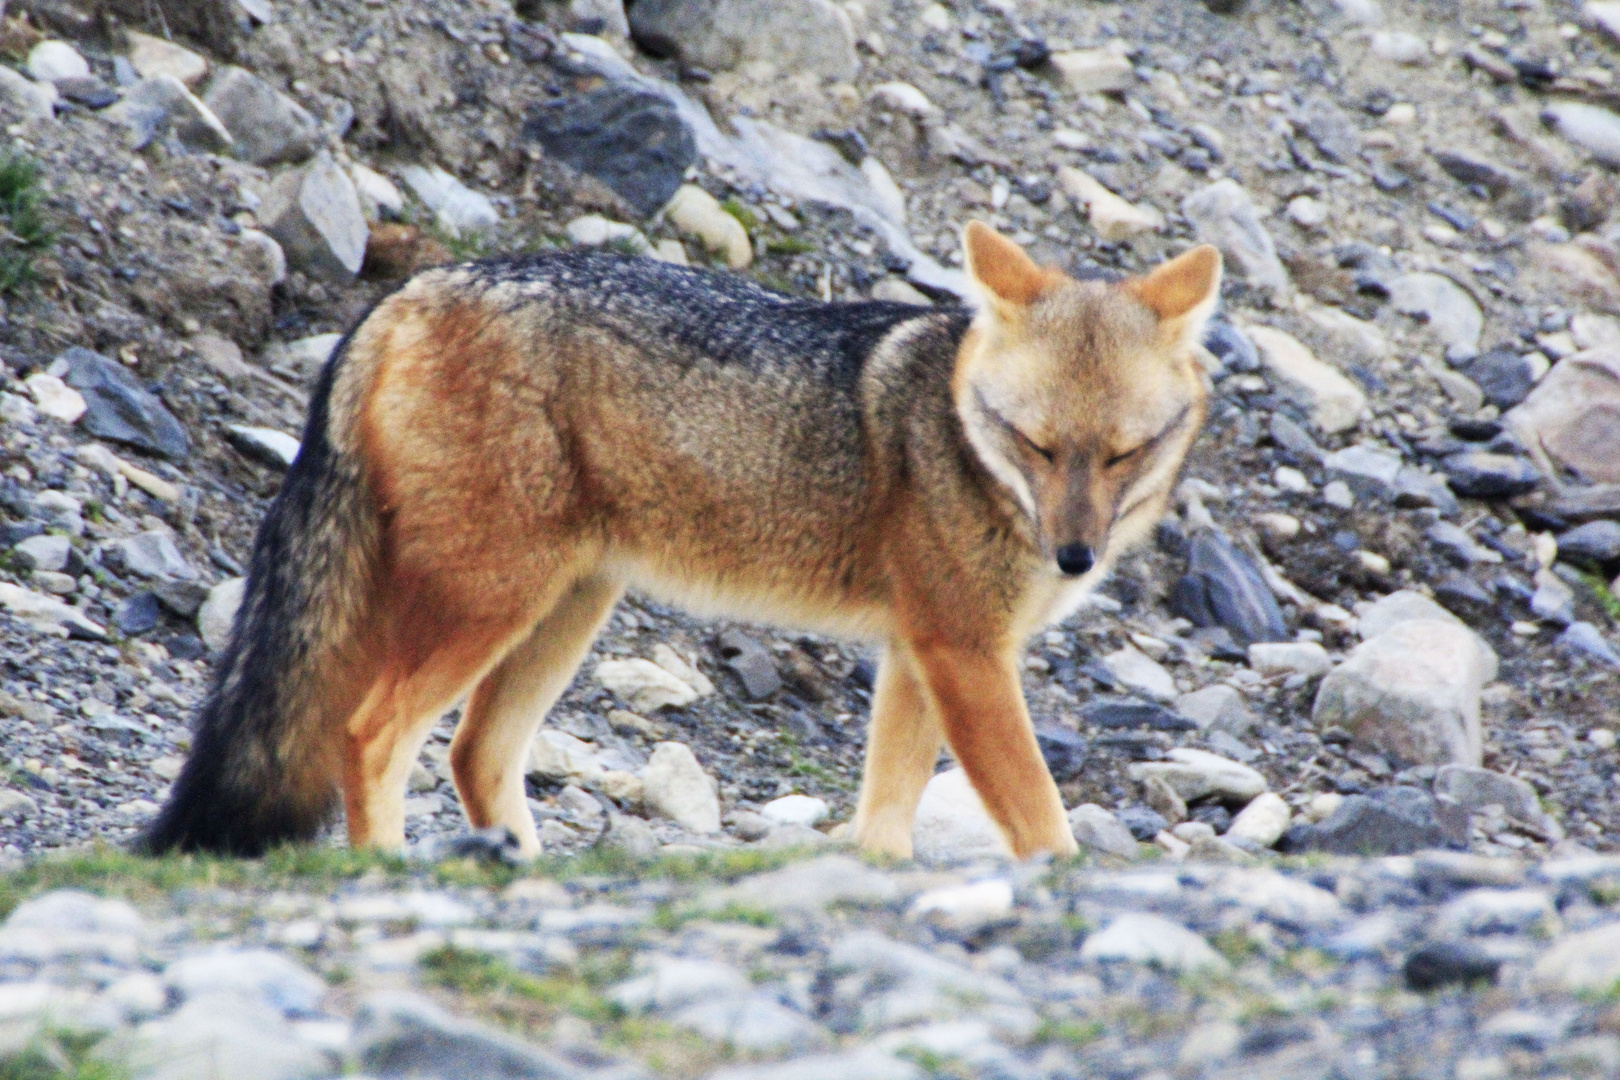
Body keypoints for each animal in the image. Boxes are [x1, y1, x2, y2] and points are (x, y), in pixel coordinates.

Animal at [142, 226, 1218, 861]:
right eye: (1036, 445)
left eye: (1123, 454)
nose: (1076, 558)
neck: (953, 429)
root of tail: (405, 293)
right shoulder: (963, 652)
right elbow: (1040, 816)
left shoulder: (922, 654)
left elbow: (885, 817)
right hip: (490, 604)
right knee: (370, 734)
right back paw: (390, 872)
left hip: (562, 613)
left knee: (474, 754)